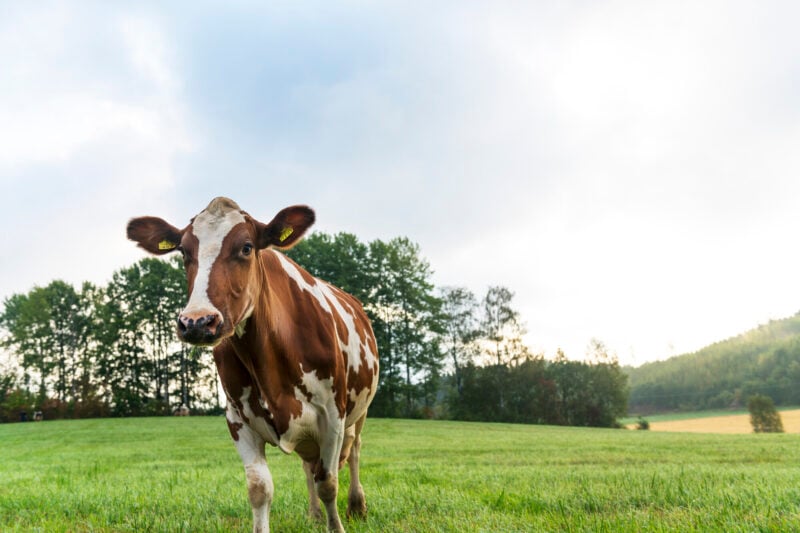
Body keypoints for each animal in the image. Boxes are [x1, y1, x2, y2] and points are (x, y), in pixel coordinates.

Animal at [127, 197, 379, 533]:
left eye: (246, 247)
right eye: (183, 251)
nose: (197, 322)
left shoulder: (332, 417)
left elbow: (328, 483)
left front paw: (336, 524)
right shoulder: (238, 418)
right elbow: (260, 488)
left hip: (358, 413)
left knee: (354, 453)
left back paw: (357, 505)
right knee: (308, 463)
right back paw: (314, 514)